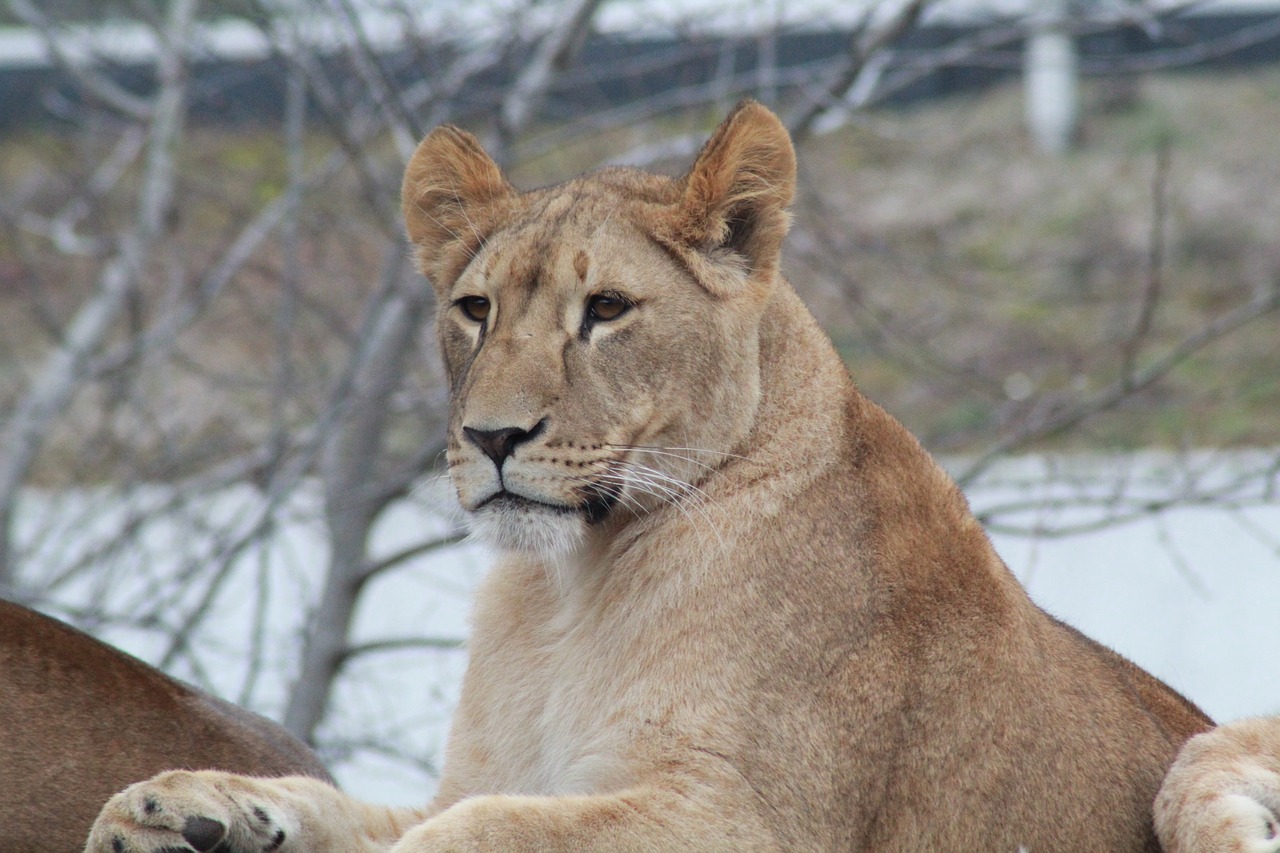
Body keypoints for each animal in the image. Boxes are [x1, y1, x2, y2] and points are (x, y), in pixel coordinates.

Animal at [85, 101, 1274, 850]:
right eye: (475, 309)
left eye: (606, 309)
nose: (492, 437)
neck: (569, 590)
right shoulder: (480, 772)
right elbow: (359, 804)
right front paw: (184, 807)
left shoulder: (750, 817)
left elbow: (490, 832)